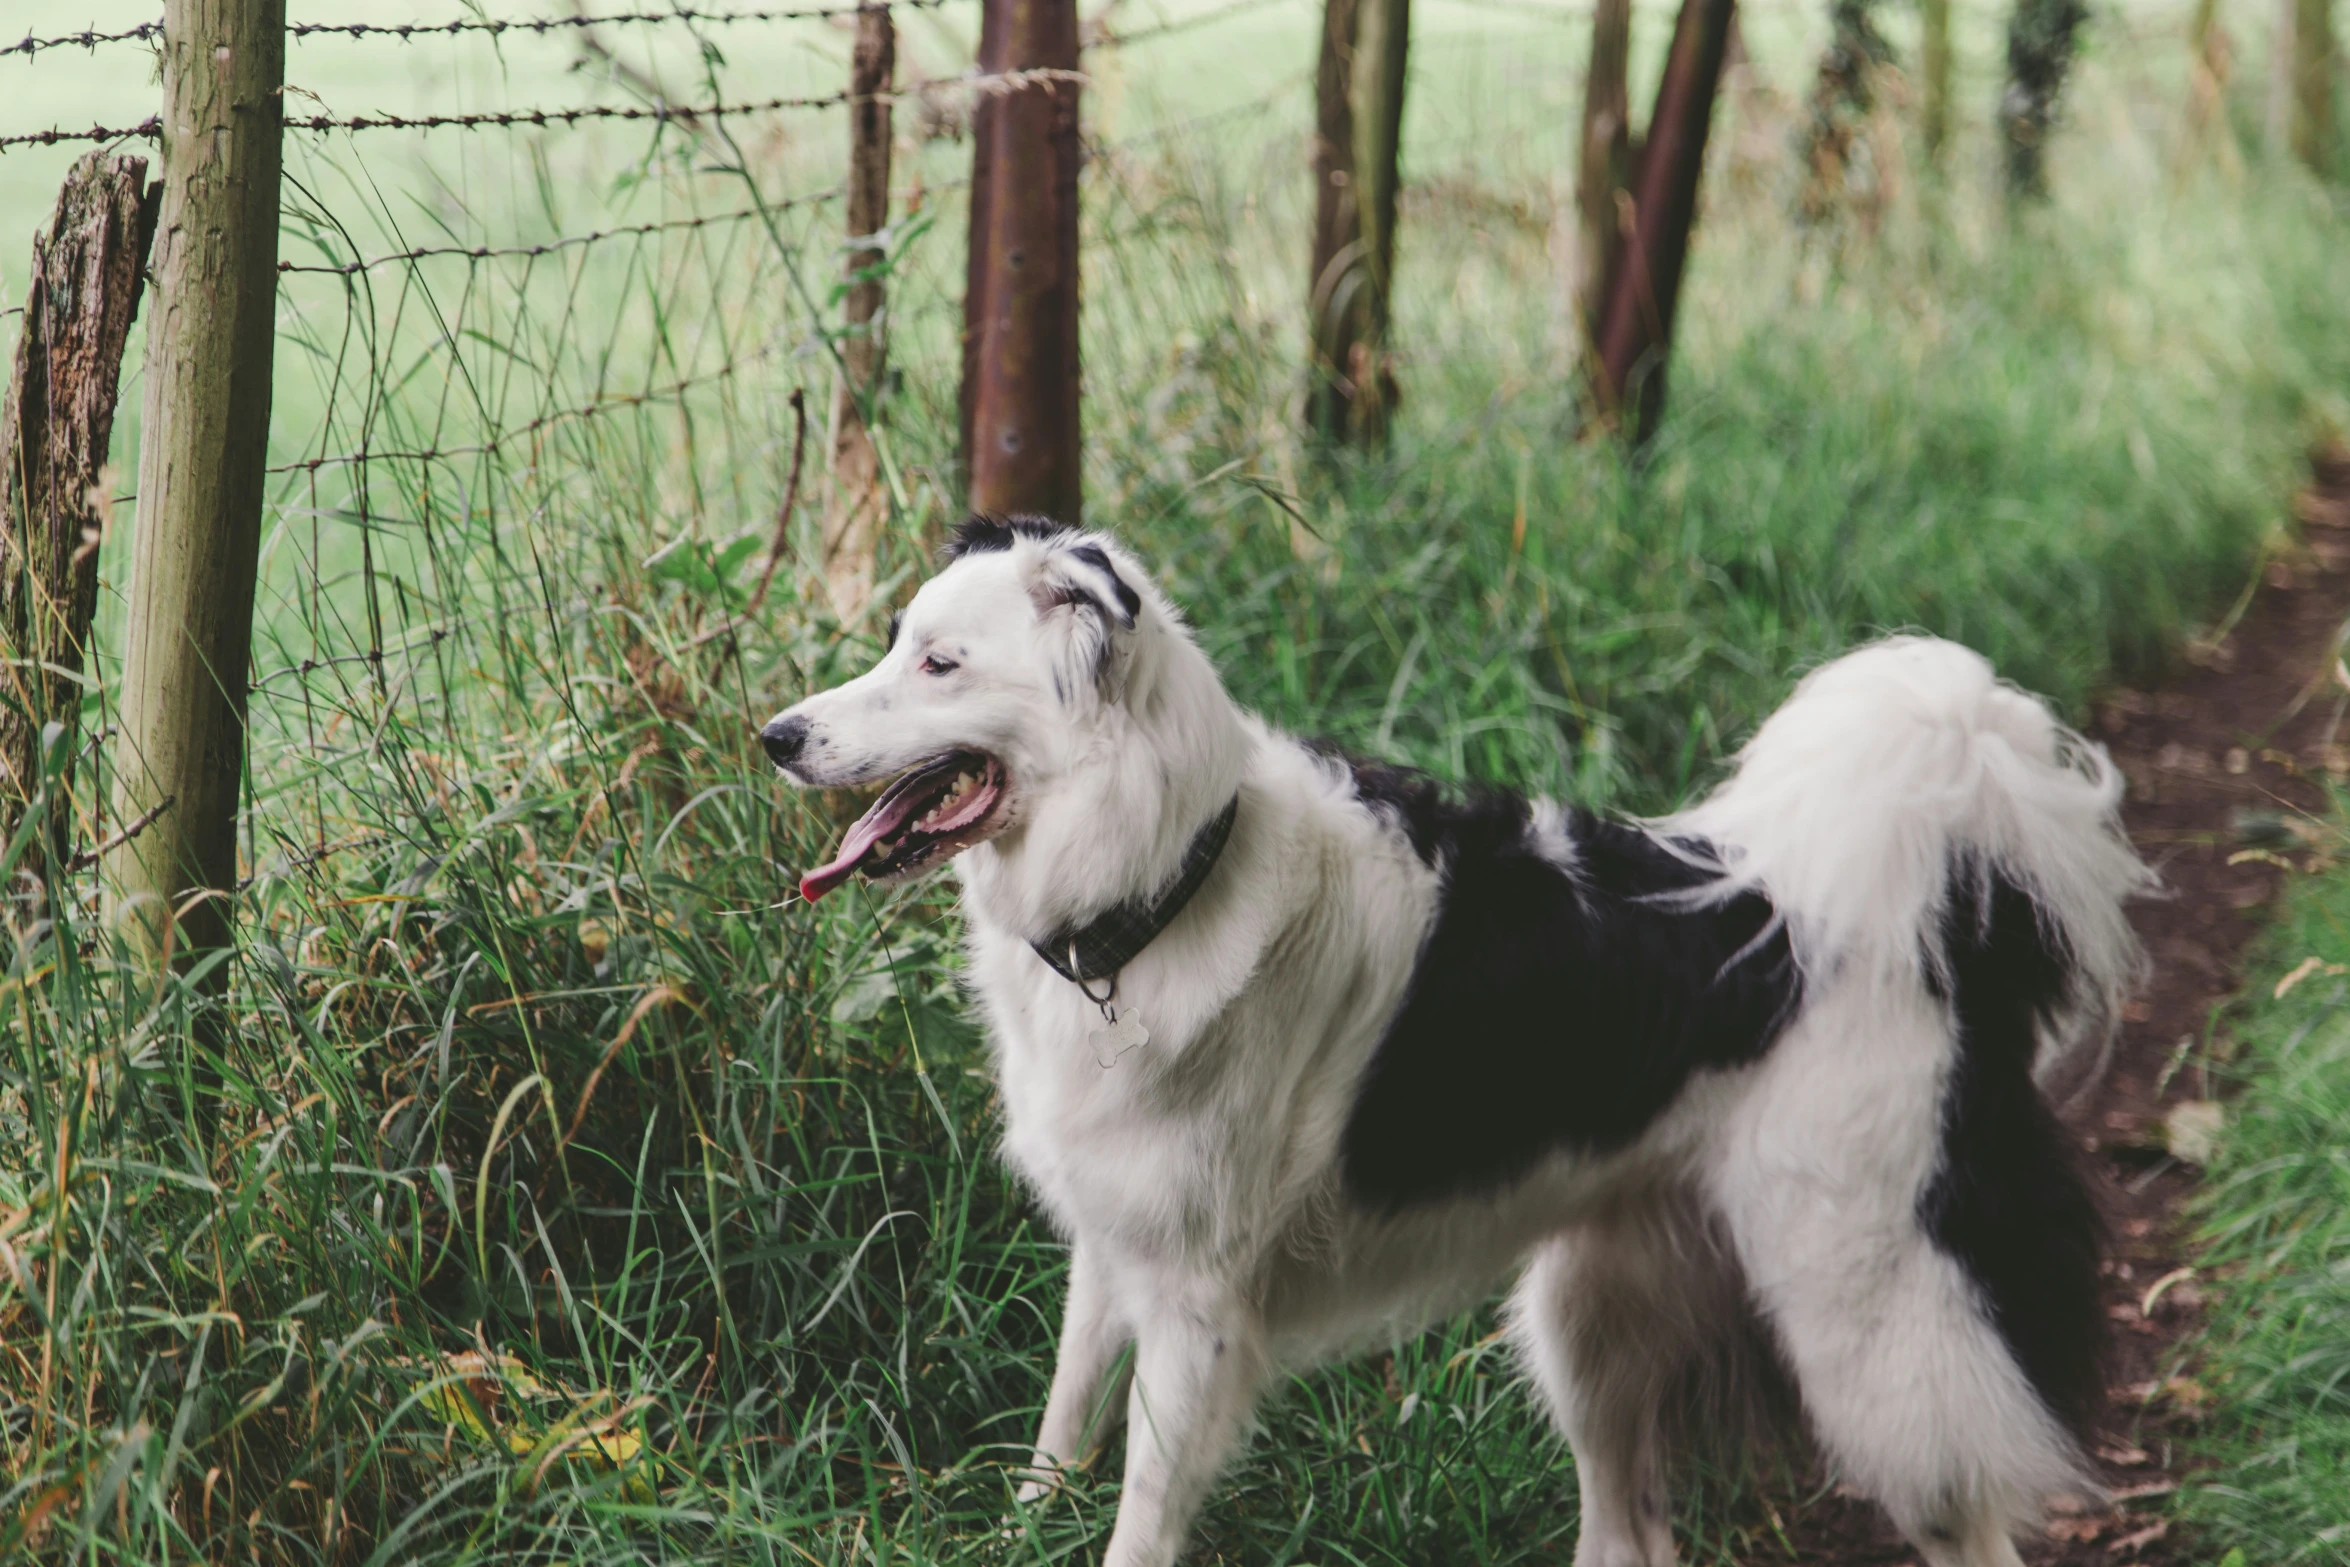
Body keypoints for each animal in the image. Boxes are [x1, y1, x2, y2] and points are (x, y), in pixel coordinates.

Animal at [766, 516, 2152, 1567]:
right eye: (894, 643)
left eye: (940, 664)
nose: (775, 736)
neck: (1164, 876)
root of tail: (1932, 925)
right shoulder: (1118, 1252)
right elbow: (1058, 1437)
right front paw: (1019, 1526)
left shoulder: (1198, 1309)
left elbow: (1141, 1515)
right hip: (1592, 1316)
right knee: (1629, 1533)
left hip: (1880, 1333)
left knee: (1965, 1519)